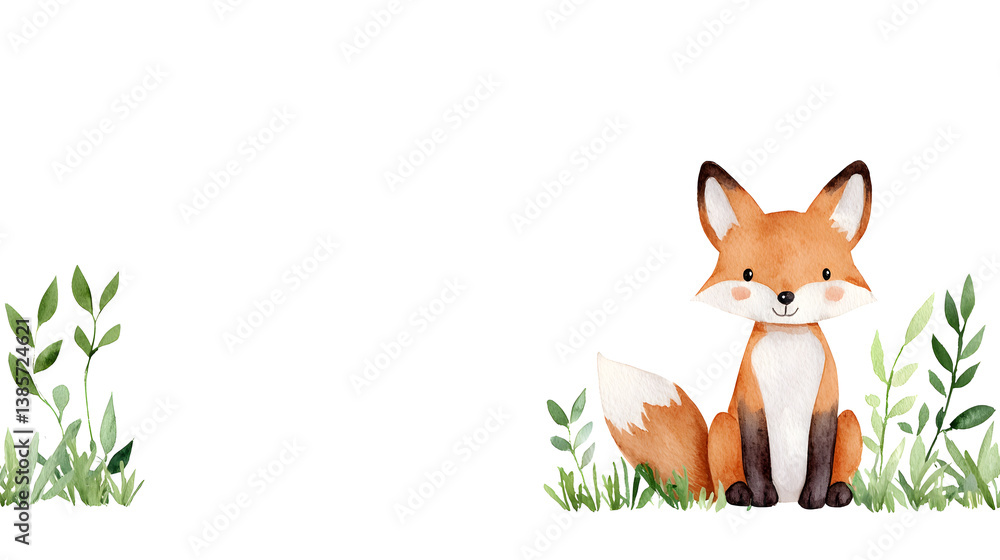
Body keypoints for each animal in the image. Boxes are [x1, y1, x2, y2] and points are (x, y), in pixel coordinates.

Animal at [598, 161, 873, 509]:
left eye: (825, 273)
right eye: (748, 274)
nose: (785, 297)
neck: (788, 349)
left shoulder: (826, 402)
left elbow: (821, 457)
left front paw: (814, 498)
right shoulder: (749, 400)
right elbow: (755, 455)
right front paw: (762, 497)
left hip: (848, 421)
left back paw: (838, 492)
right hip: (723, 425)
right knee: (724, 477)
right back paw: (739, 493)